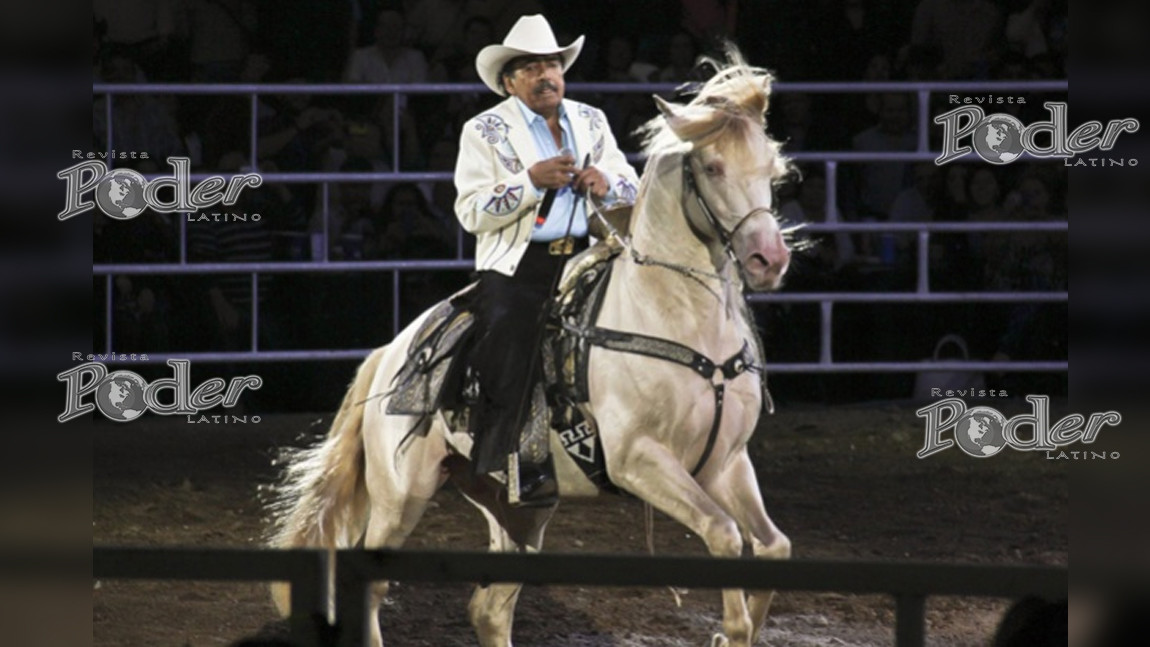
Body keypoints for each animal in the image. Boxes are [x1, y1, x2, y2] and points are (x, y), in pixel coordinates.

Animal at [269, 52, 791, 647]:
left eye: (772, 171)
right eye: (712, 167)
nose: (768, 260)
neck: (676, 321)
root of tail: (388, 355)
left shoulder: (726, 464)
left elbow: (773, 547)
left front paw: (735, 630)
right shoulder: (641, 461)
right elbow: (725, 535)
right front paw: (730, 628)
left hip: (516, 508)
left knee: (490, 610)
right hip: (401, 494)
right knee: (375, 586)